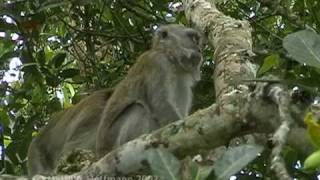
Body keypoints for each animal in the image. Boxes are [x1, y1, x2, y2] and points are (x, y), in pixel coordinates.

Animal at [96, 24, 204, 157]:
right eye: (192, 38)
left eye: (197, 40)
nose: (199, 50)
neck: (169, 57)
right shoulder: (158, 63)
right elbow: (161, 103)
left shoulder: (182, 83)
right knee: (138, 109)